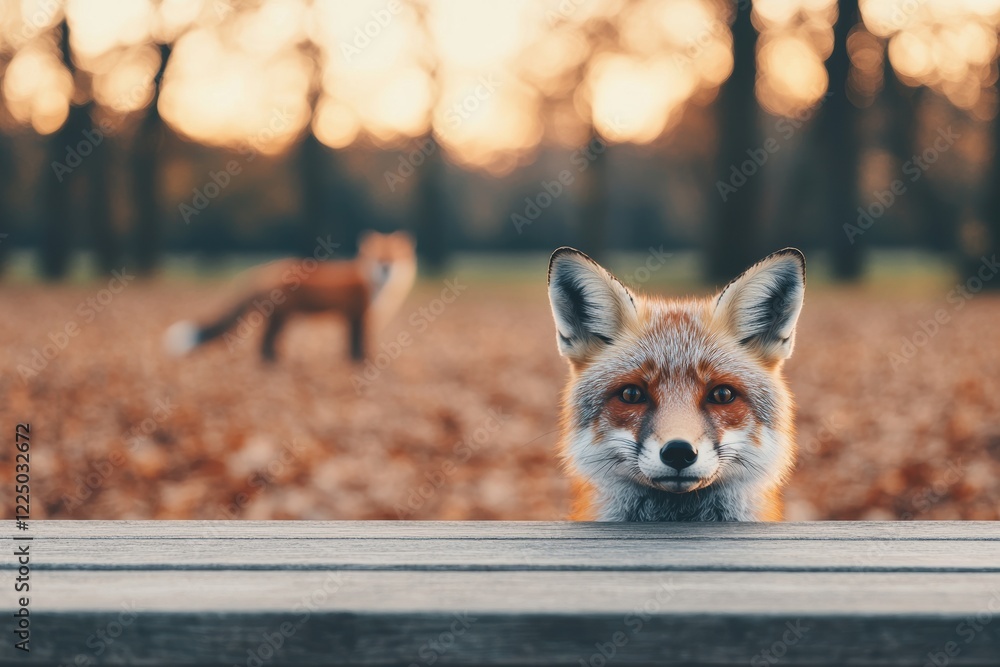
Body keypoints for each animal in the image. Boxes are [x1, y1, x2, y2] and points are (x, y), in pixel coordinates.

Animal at [164, 230, 417, 362]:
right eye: (379, 257)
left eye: (393, 257)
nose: (385, 267)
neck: (374, 287)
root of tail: (262, 269)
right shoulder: (357, 316)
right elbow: (357, 345)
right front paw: (361, 363)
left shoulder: (354, 317)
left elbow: (353, 345)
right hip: (281, 318)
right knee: (265, 343)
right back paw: (272, 363)